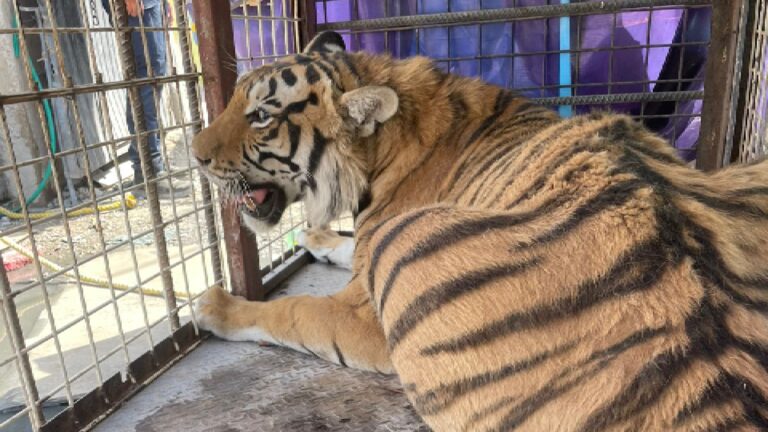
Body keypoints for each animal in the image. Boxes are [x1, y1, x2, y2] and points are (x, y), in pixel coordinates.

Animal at [191, 31, 768, 431]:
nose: (194, 156)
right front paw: (318, 239)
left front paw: (216, 306)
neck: (380, 150)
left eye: (260, 116)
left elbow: (290, 310)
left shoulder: (365, 312)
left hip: (407, 245)